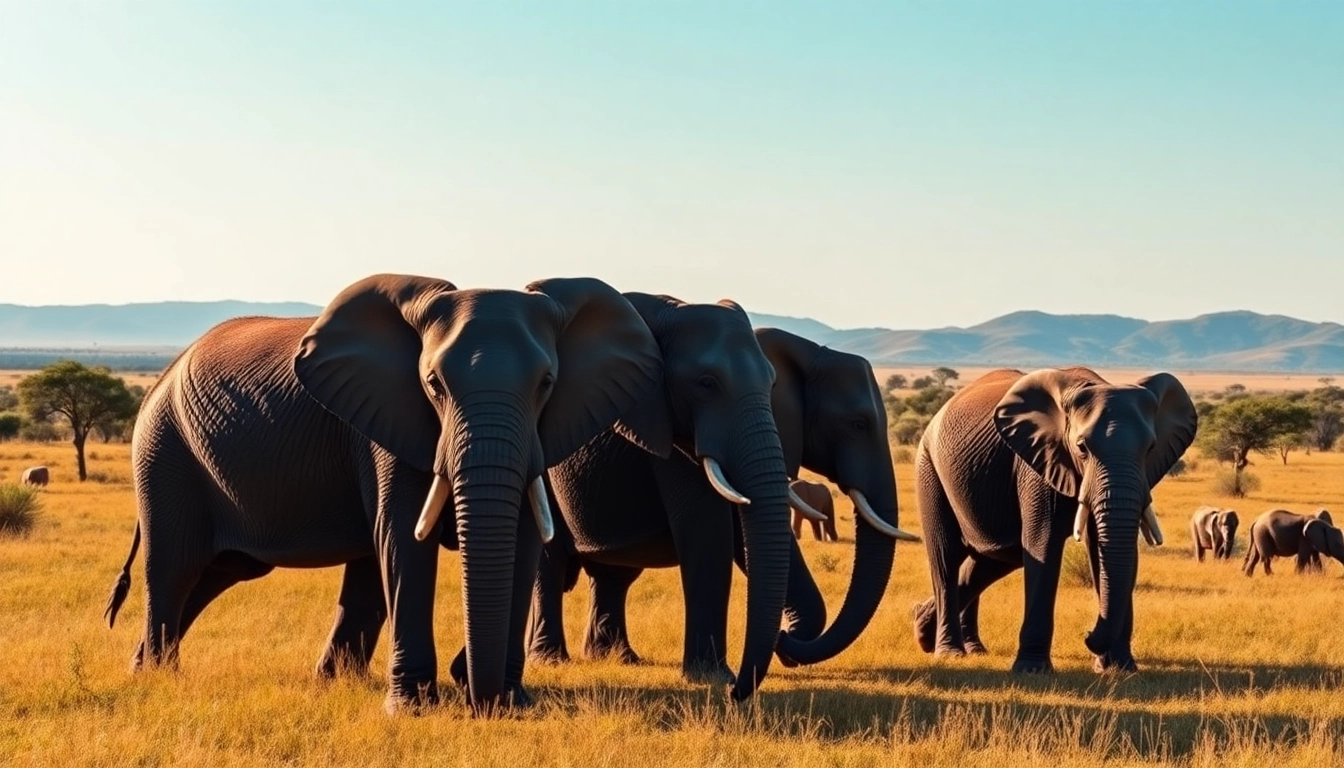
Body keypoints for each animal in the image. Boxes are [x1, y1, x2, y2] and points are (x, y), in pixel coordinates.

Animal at [101, 274, 664, 714]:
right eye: (433, 385)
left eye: (546, 383)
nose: (475, 690)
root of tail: (161, 377)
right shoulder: (385, 424)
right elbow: (403, 541)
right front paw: (413, 710)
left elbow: (524, 542)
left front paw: (510, 705)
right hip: (164, 453)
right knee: (174, 567)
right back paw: (159, 677)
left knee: (218, 571)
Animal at [526, 326, 916, 692]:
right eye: (857, 424)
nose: (783, 638)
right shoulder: (686, 446)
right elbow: (709, 531)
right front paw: (714, 678)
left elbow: (752, 541)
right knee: (551, 561)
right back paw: (552, 659)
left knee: (613, 573)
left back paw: (618, 658)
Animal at [911, 366, 1196, 673]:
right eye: (1082, 448)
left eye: (1151, 448)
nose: (1087, 635)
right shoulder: (1038, 464)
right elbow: (1042, 546)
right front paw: (1032, 670)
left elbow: (1112, 552)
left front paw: (1120, 669)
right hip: (928, 466)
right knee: (947, 557)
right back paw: (948, 652)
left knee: (990, 559)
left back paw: (934, 633)